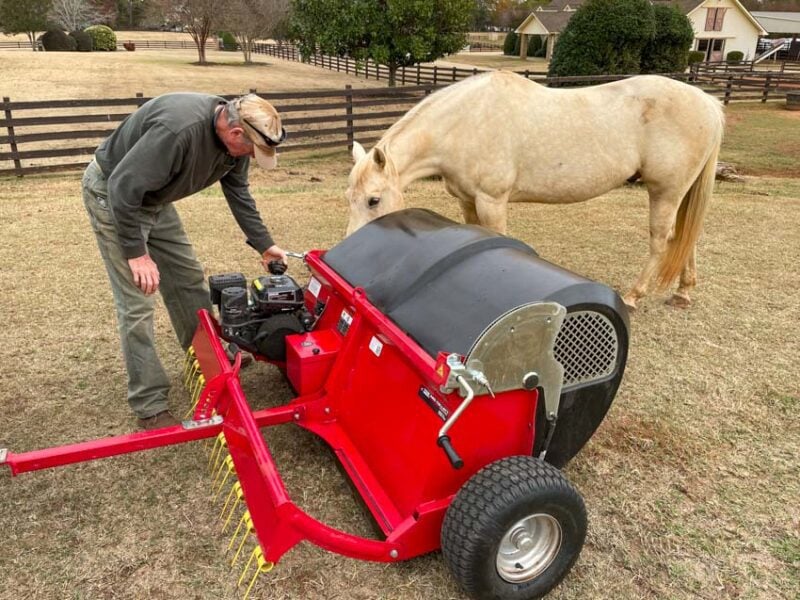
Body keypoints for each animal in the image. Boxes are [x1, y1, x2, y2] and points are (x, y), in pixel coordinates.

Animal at [344, 70, 724, 310]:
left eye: (374, 200)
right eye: (349, 198)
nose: (351, 247)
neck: (466, 121)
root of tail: (708, 103)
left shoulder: (492, 202)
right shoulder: (468, 201)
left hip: (665, 191)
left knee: (661, 240)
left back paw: (633, 296)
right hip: (680, 193)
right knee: (684, 238)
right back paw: (683, 293)